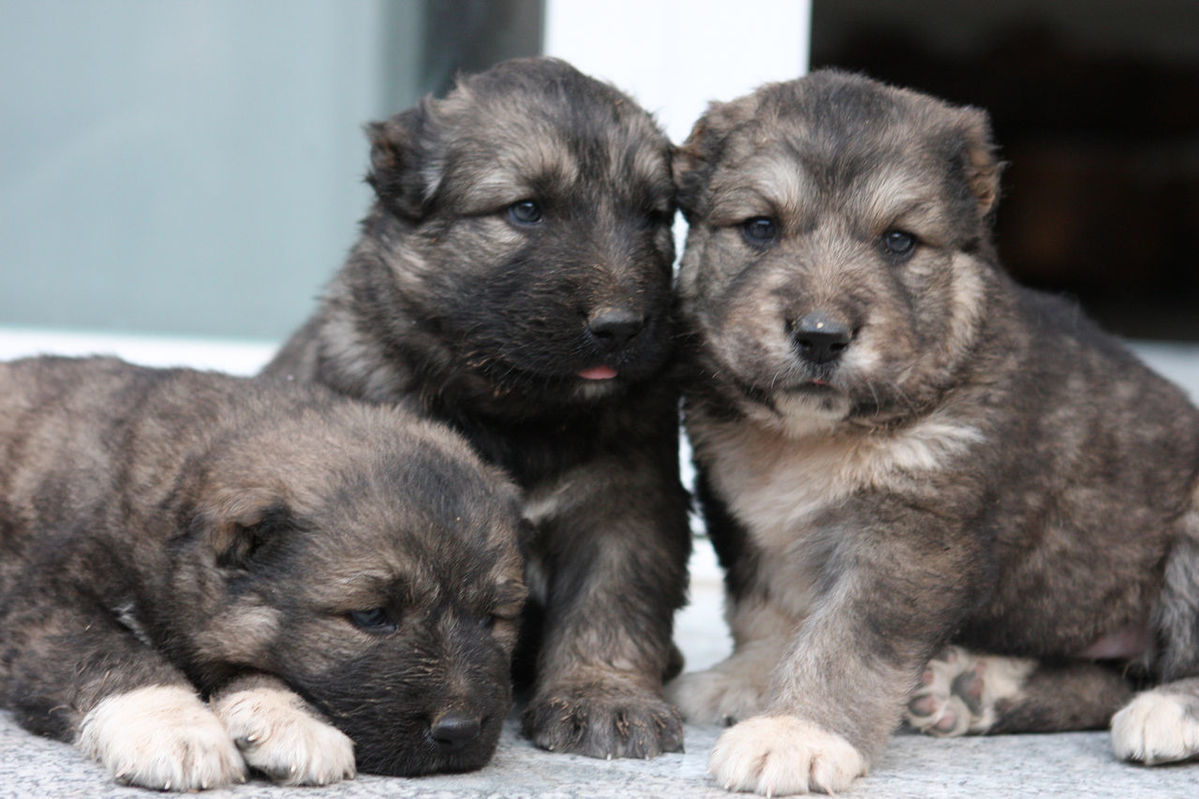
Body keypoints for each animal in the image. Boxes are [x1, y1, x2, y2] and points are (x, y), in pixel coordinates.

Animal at [0, 355, 525, 791]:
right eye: (373, 616)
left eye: (491, 619)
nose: (460, 731)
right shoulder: (43, 604)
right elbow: (109, 653)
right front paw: (176, 730)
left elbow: (250, 662)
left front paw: (290, 722)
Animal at [264, 57, 695, 758]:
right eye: (526, 210)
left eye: (653, 216)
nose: (621, 325)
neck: (521, 417)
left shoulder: (623, 505)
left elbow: (610, 605)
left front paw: (605, 697)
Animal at [671, 71, 1199, 791]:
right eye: (760, 227)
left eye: (898, 241)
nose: (820, 336)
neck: (812, 438)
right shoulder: (746, 517)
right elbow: (768, 607)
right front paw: (747, 680)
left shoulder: (913, 531)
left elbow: (845, 639)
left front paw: (795, 731)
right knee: (1107, 679)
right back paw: (973, 687)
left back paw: (1166, 712)